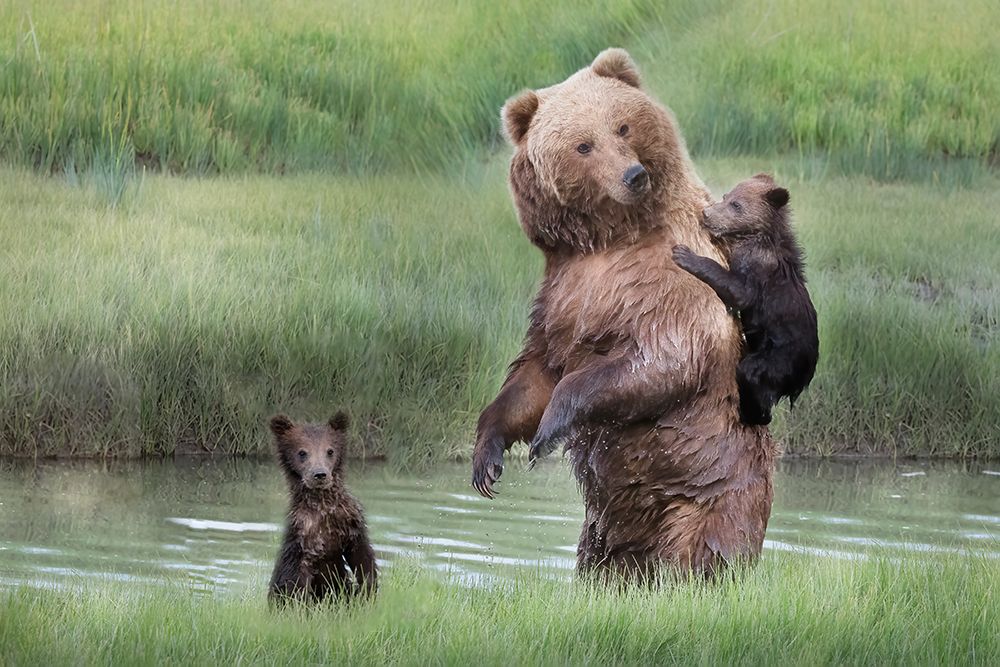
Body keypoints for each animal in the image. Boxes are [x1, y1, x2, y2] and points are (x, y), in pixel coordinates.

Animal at [268, 412, 376, 604]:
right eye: (302, 452)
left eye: (330, 450)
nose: (320, 474)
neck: (324, 508)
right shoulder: (304, 539)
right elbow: (297, 583)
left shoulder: (351, 523)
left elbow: (363, 559)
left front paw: (367, 593)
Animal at [472, 48, 776, 580]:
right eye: (583, 145)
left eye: (623, 126)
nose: (633, 176)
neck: (609, 239)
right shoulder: (562, 295)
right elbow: (536, 372)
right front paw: (487, 458)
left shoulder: (670, 277)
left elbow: (664, 357)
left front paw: (549, 429)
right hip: (605, 527)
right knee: (604, 559)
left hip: (710, 488)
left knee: (701, 549)